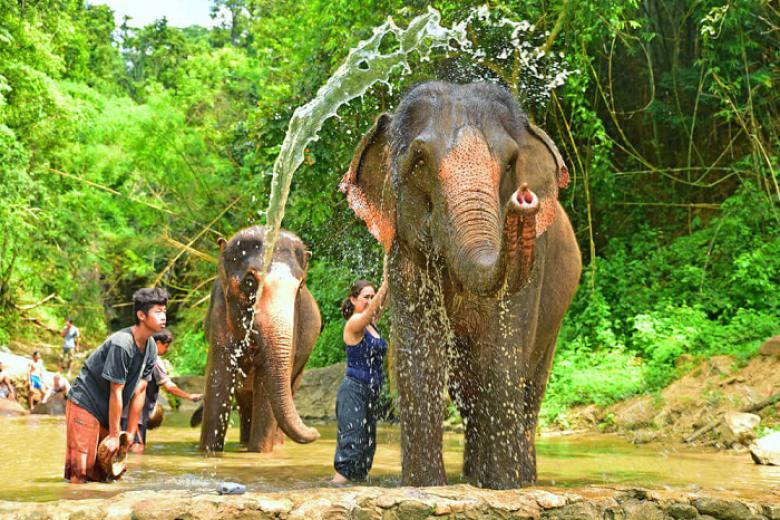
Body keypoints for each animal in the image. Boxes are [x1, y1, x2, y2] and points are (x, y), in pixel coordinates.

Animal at [201, 225, 326, 452]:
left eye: (301, 286)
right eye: (250, 282)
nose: (316, 432)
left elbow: (266, 386)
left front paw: (259, 453)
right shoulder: (218, 316)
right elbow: (218, 380)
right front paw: (208, 452)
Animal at [338, 80, 580, 488]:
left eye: (511, 163)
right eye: (420, 161)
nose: (524, 198)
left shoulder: (537, 259)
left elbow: (502, 352)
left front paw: (503, 487)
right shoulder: (405, 251)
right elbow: (420, 357)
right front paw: (424, 486)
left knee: (530, 384)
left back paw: (520, 478)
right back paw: (473, 476)